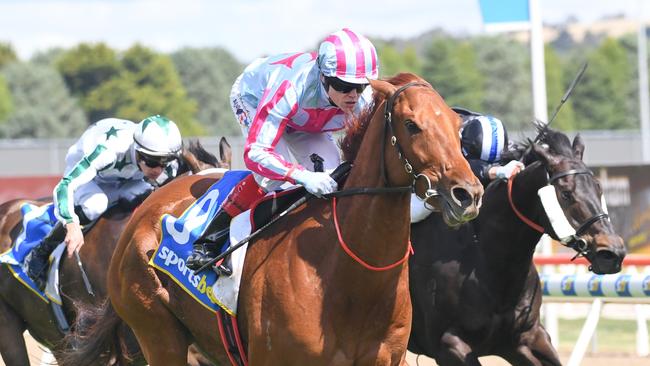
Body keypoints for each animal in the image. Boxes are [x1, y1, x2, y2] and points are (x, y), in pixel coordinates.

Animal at [64, 72, 480, 366]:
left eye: (457, 127)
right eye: (411, 124)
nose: (469, 194)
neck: (349, 277)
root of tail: (143, 212)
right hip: (157, 333)